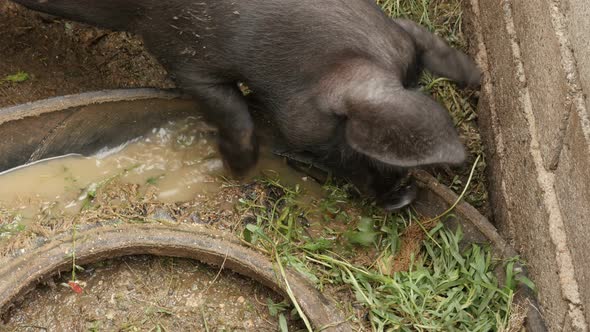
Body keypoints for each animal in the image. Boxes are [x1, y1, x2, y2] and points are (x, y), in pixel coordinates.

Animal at [11, 0, 484, 210]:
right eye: (346, 137)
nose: (403, 197)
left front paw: (476, 74)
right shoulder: (182, 52)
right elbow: (233, 111)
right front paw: (239, 168)